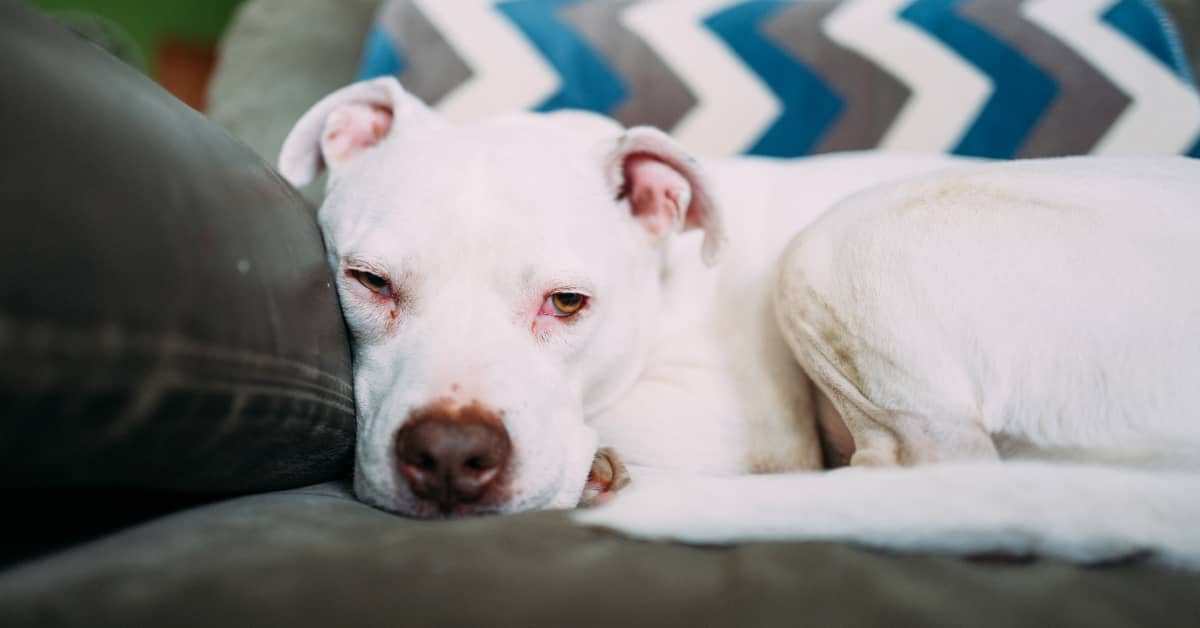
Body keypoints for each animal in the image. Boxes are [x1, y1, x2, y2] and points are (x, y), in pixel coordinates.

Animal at [280, 76, 1200, 566]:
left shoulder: (742, 426)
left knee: (916, 472)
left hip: (845, 240)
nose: (448, 454)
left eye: (567, 302)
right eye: (369, 281)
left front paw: (599, 469)